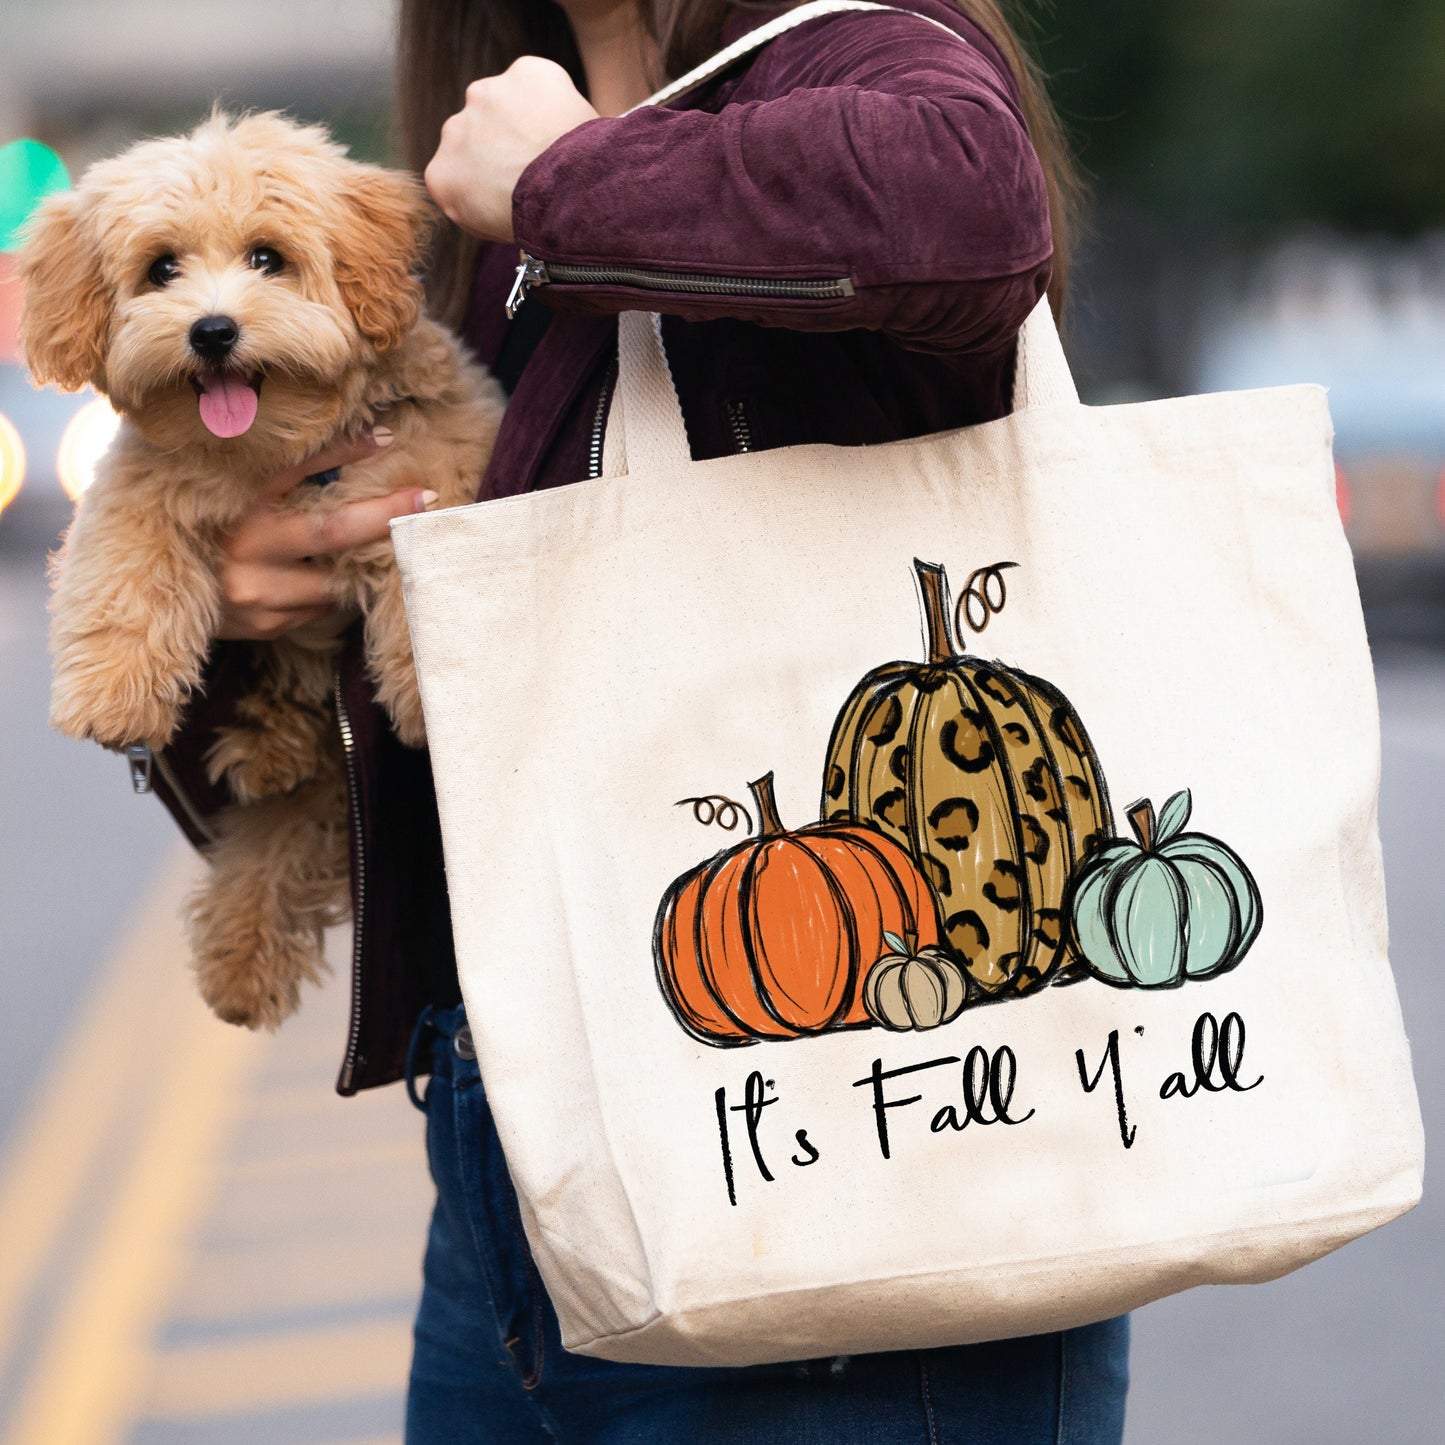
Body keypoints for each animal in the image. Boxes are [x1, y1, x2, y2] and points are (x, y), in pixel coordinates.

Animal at [18, 118, 508, 1034]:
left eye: (267, 258)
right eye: (161, 269)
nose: (211, 331)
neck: (269, 450)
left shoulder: (435, 457)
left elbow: (420, 555)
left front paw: (424, 690)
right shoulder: (139, 486)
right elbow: (122, 568)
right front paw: (112, 694)